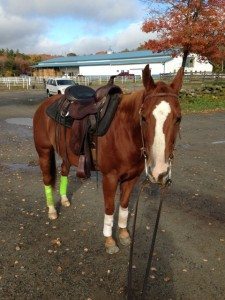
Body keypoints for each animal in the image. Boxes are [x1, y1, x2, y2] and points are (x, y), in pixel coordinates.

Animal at [33, 65, 185, 253]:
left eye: (178, 118)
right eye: (143, 118)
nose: (159, 172)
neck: (123, 132)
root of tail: (45, 104)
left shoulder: (131, 178)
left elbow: (124, 205)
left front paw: (124, 233)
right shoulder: (110, 178)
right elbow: (110, 207)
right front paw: (110, 240)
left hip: (67, 155)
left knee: (63, 172)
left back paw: (65, 200)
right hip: (44, 152)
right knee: (47, 179)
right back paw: (52, 210)